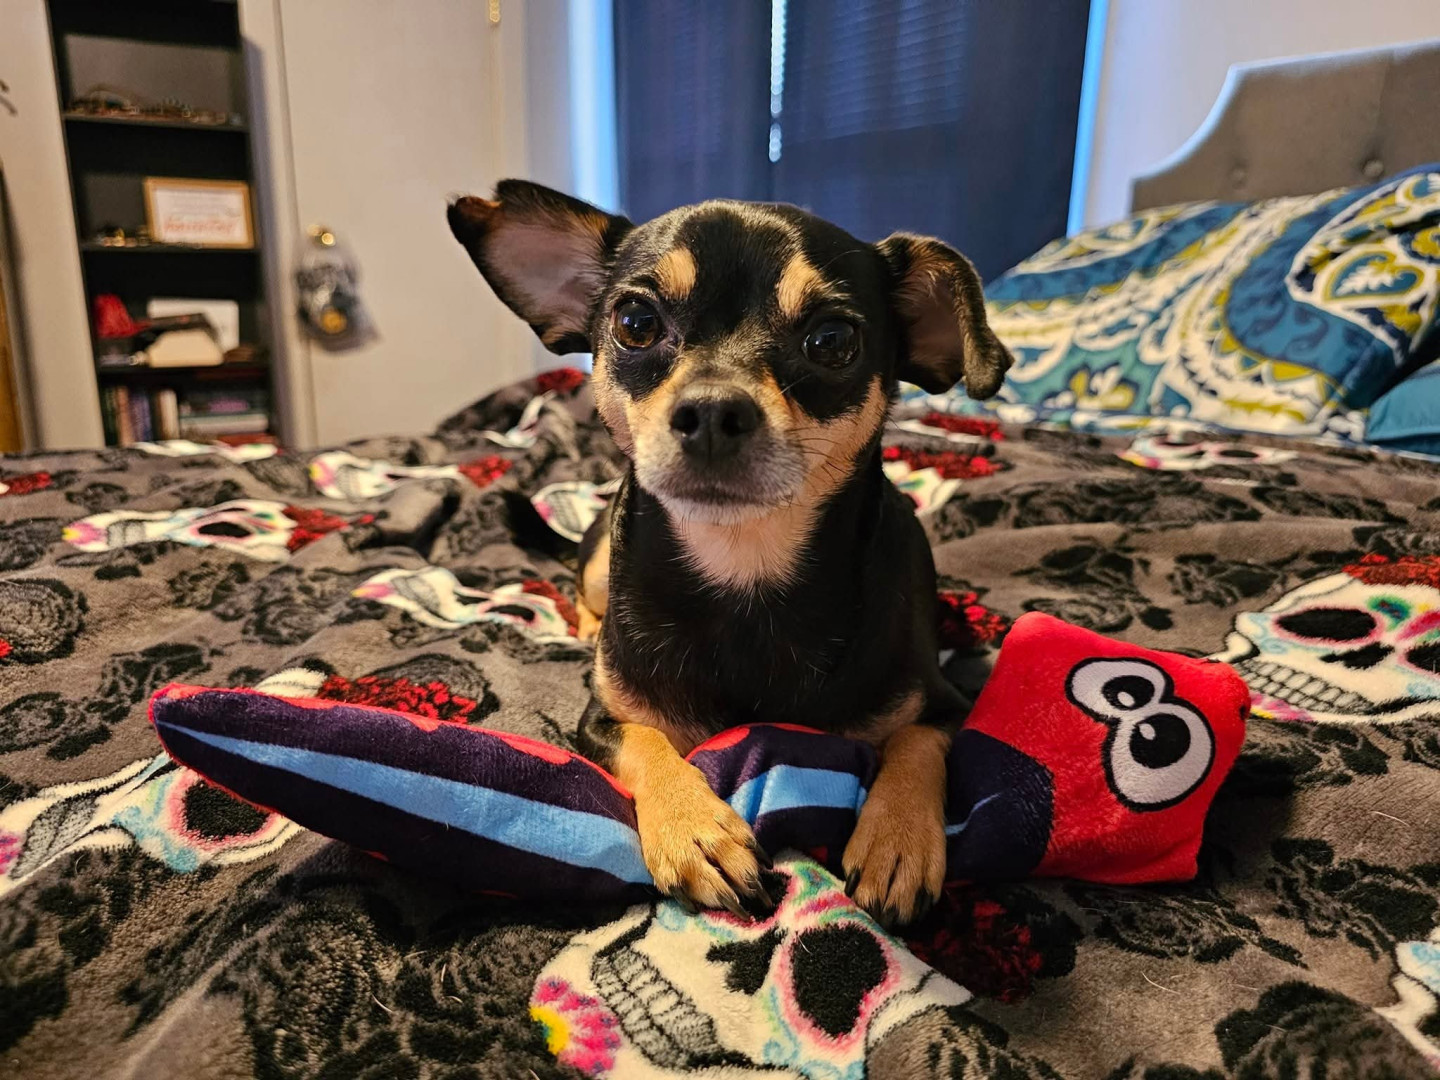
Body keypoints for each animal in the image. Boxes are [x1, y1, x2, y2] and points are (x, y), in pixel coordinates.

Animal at [449, 181, 1011, 926]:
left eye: (833, 341)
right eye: (634, 322)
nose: (713, 411)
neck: (744, 570)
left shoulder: (946, 705)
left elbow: (916, 743)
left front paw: (898, 838)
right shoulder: (601, 720)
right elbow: (648, 742)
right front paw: (694, 827)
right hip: (598, 559)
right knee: (578, 588)